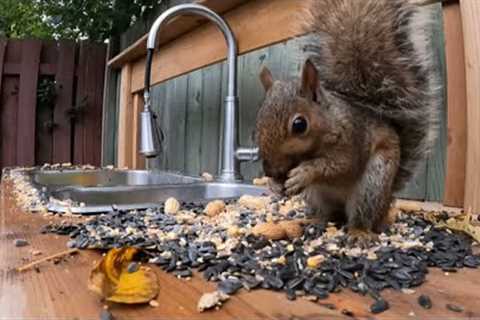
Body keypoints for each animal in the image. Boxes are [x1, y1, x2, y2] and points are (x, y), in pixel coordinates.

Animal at [255, 0, 438, 244]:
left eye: (299, 125)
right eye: (258, 121)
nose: (269, 171)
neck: (329, 122)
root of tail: (387, 200)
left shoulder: (353, 140)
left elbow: (340, 165)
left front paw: (305, 172)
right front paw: (274, 185)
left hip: (373, 184)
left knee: (361, 214)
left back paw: (359, 232)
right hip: (316, 196)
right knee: (328, 215)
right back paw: (312, 221)